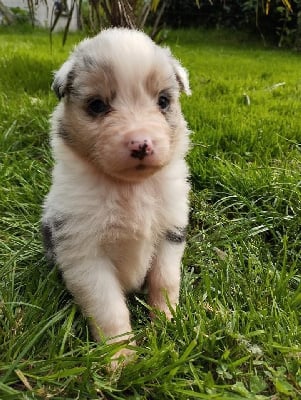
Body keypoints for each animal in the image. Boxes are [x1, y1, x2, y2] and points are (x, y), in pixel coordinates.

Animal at [42, 27, 190, 360]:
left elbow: (165, 281)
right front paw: (122, 359)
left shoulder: (170, 231)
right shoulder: (84, 253)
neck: (129, 188)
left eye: (164, 101)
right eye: (97, 105)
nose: (141, 143)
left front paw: (167, 323)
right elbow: (109, 309)